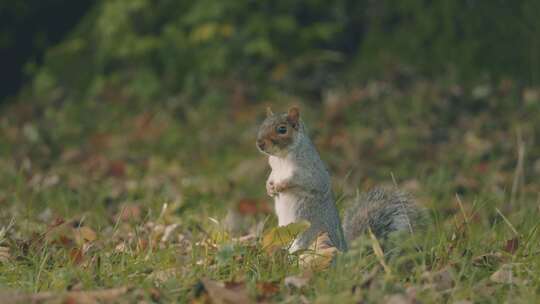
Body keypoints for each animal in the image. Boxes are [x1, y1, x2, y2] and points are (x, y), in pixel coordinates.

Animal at [255, 105, 424, 253]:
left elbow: (302, 182)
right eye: (262, 125)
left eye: (282, 129)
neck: (281, 158)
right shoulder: (274, 169)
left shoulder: (310, 171)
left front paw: (281, 186)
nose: (260, 143)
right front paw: (269, 187)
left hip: (309, 236)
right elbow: (271, 177)